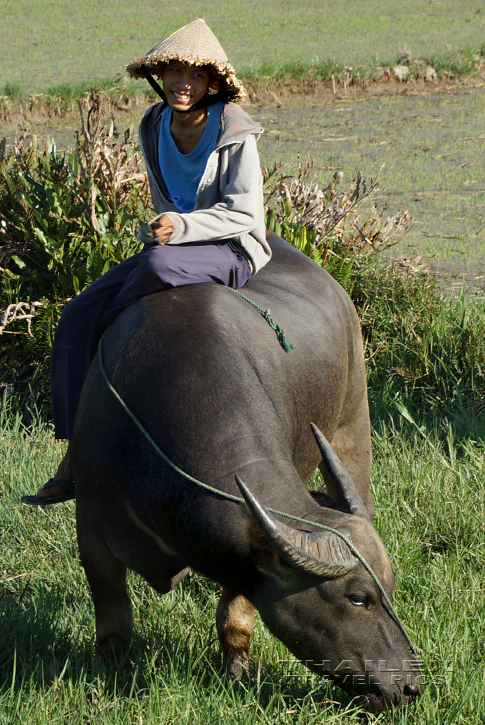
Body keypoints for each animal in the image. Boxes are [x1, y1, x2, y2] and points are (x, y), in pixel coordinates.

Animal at [72, 233, 420, 712]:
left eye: (388, 588)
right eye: (358, 597)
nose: (408, 686)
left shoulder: (249, 554)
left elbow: (235, 617)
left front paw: (237, 675)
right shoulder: (90, 526)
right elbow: (113, 622)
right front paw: (108, 673)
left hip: (355, 423)